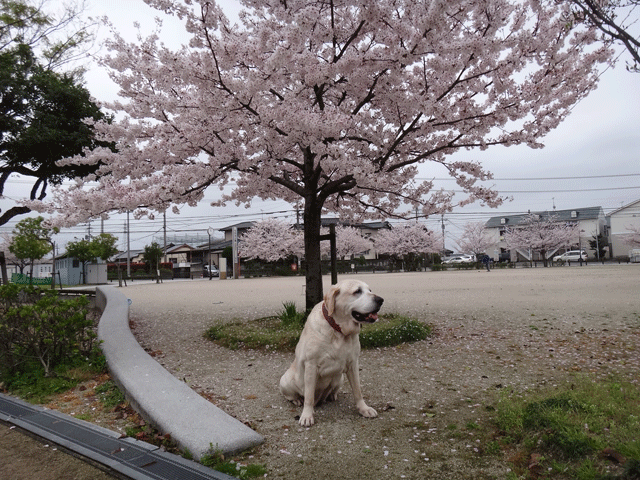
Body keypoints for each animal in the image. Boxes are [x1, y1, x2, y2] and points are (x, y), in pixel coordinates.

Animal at [278, 280, 380, 426]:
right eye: (357, 291)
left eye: (370, 290)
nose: (380, 300)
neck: (338, 330)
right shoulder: (311, 365)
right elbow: (309, 396)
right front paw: (307, 415)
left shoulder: (353, 364)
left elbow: (358, 391)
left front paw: (364, 408)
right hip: (286, 380)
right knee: (293, 395)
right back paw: (297, 400)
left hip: (339, 378)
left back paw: (332, 395)